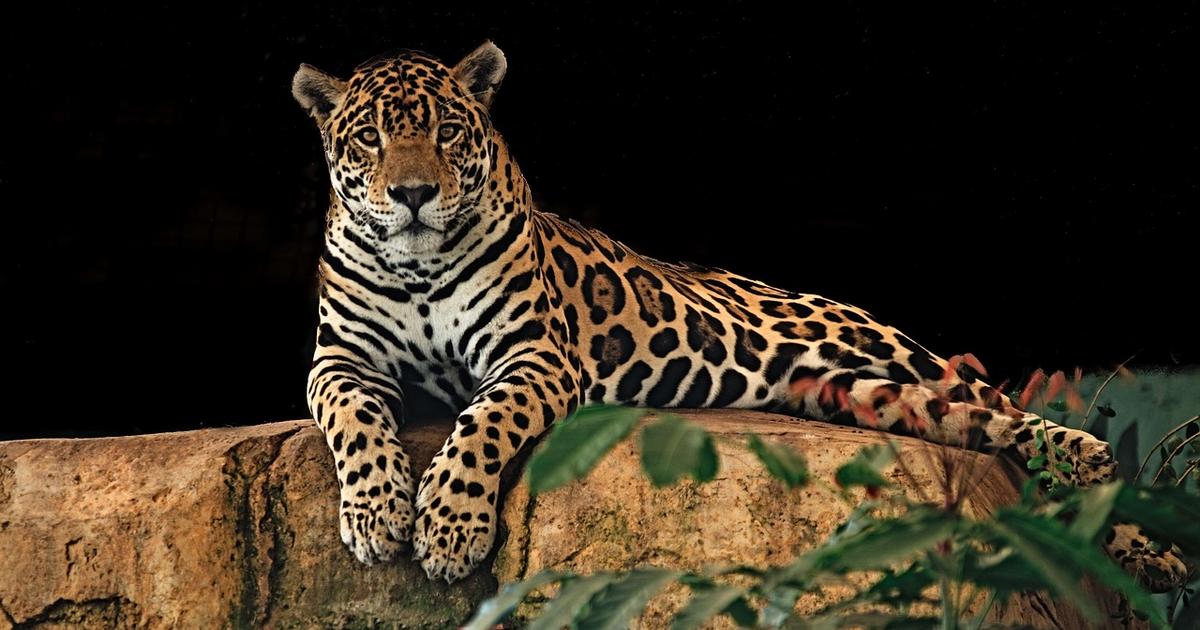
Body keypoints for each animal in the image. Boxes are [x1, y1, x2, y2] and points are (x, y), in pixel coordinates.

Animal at [291, 42, 1188, 591]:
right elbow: (352, 421)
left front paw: (447, 530)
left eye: (447, 132)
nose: (414, 194)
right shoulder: (340, 360)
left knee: (1021, 414)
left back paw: (1144, 538)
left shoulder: (533, 355)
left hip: (890, 350)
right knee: (998, 431)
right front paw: (375, 516)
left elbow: (481, 425)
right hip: (864, 395)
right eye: (369, 139)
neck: (417, 267)